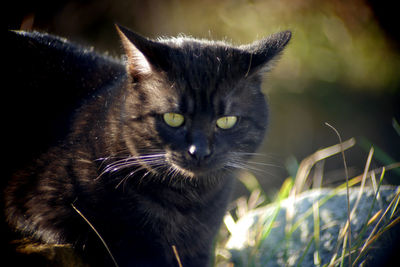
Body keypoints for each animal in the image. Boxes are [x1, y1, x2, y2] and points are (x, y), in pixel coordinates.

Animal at [2, 24, 290, 266]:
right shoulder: (42, 204)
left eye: (226, 121)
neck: (186, 202)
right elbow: (122, 244)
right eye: (173, 118)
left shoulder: (199, 249)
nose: (199, 152)